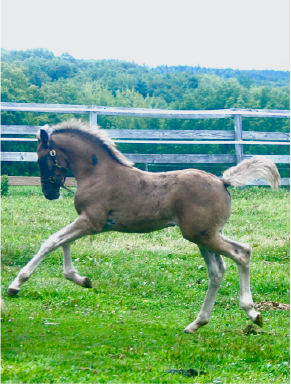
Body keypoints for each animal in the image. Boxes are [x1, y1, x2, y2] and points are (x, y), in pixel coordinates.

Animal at [7, 120, 280, 332]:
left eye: (42, 159)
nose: (49, 193)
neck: (99, 174)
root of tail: (223, 181)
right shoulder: (89, 221)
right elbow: (63, 243)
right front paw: (81, 279)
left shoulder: (91, 221)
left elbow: (52, 241)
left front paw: (16, 284)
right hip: (205, 235)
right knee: (217, 270)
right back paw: (196, 324)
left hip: (203, 235)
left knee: (242, 253)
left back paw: (252, 313)